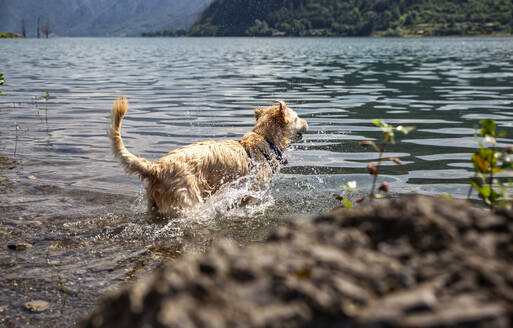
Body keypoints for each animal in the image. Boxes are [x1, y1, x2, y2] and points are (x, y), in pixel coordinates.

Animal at [109, 96, 308, 217]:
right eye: (297, 117)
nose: (308, 122)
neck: (265, 141)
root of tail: (156, 167)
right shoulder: (251, 191)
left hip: (153, 204)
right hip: (187, 200)